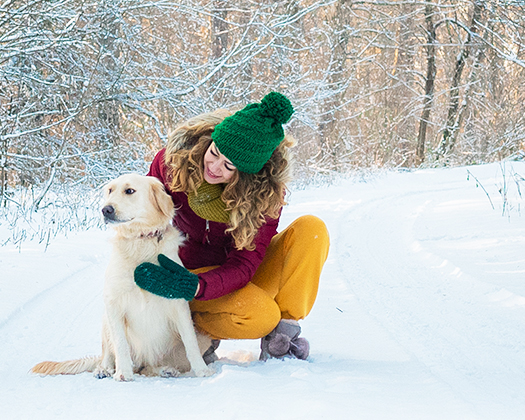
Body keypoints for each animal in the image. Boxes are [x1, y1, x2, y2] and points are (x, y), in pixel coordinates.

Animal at [30, 174, 214, 380]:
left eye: (129, 191)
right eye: (110, 190)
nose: (106, 210)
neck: (140, 240)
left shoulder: (178, 302)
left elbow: (190, 342)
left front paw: (202, 370)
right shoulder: (113, 302)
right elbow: (120, 344)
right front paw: (123, 372)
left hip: (199, 338)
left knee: (149, 367)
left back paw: (165, 369)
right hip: (105, 322)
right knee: (108, 356)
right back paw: (105, 370)